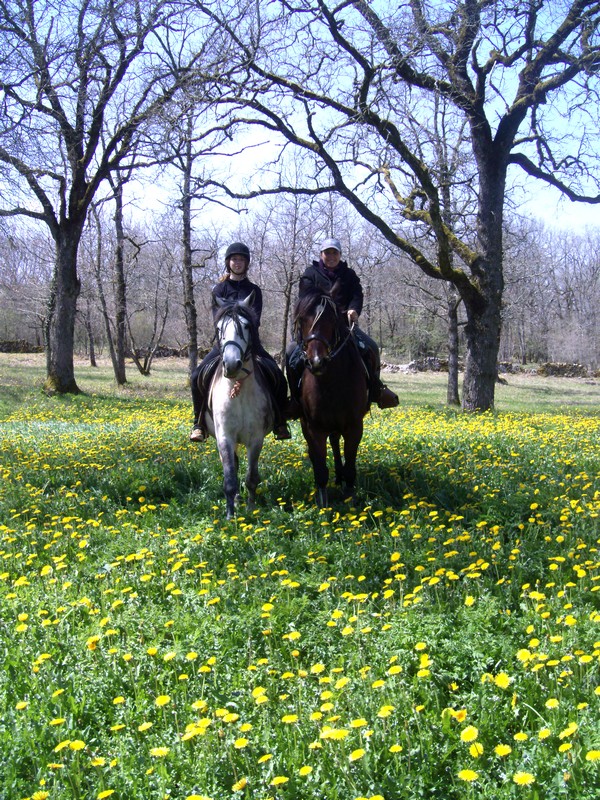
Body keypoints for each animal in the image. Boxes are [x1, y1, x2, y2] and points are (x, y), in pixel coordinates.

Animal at [202, 294, 275, 519]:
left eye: (246, 326)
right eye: (219, 328)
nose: (231, 364)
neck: (238, 388)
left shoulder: (256, 439)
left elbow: (251, 478)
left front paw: (251, 510)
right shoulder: (225, 437)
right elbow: (230, 478)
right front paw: (230, 516)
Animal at [292, 287, 370, 507]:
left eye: (333, 319)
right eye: (302, 319)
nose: (317, 362)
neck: (330, 382)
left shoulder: (354, 426)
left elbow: (350, 463)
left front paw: (350, 496)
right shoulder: (314, 428)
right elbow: (320, 468)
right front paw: (322, 503)